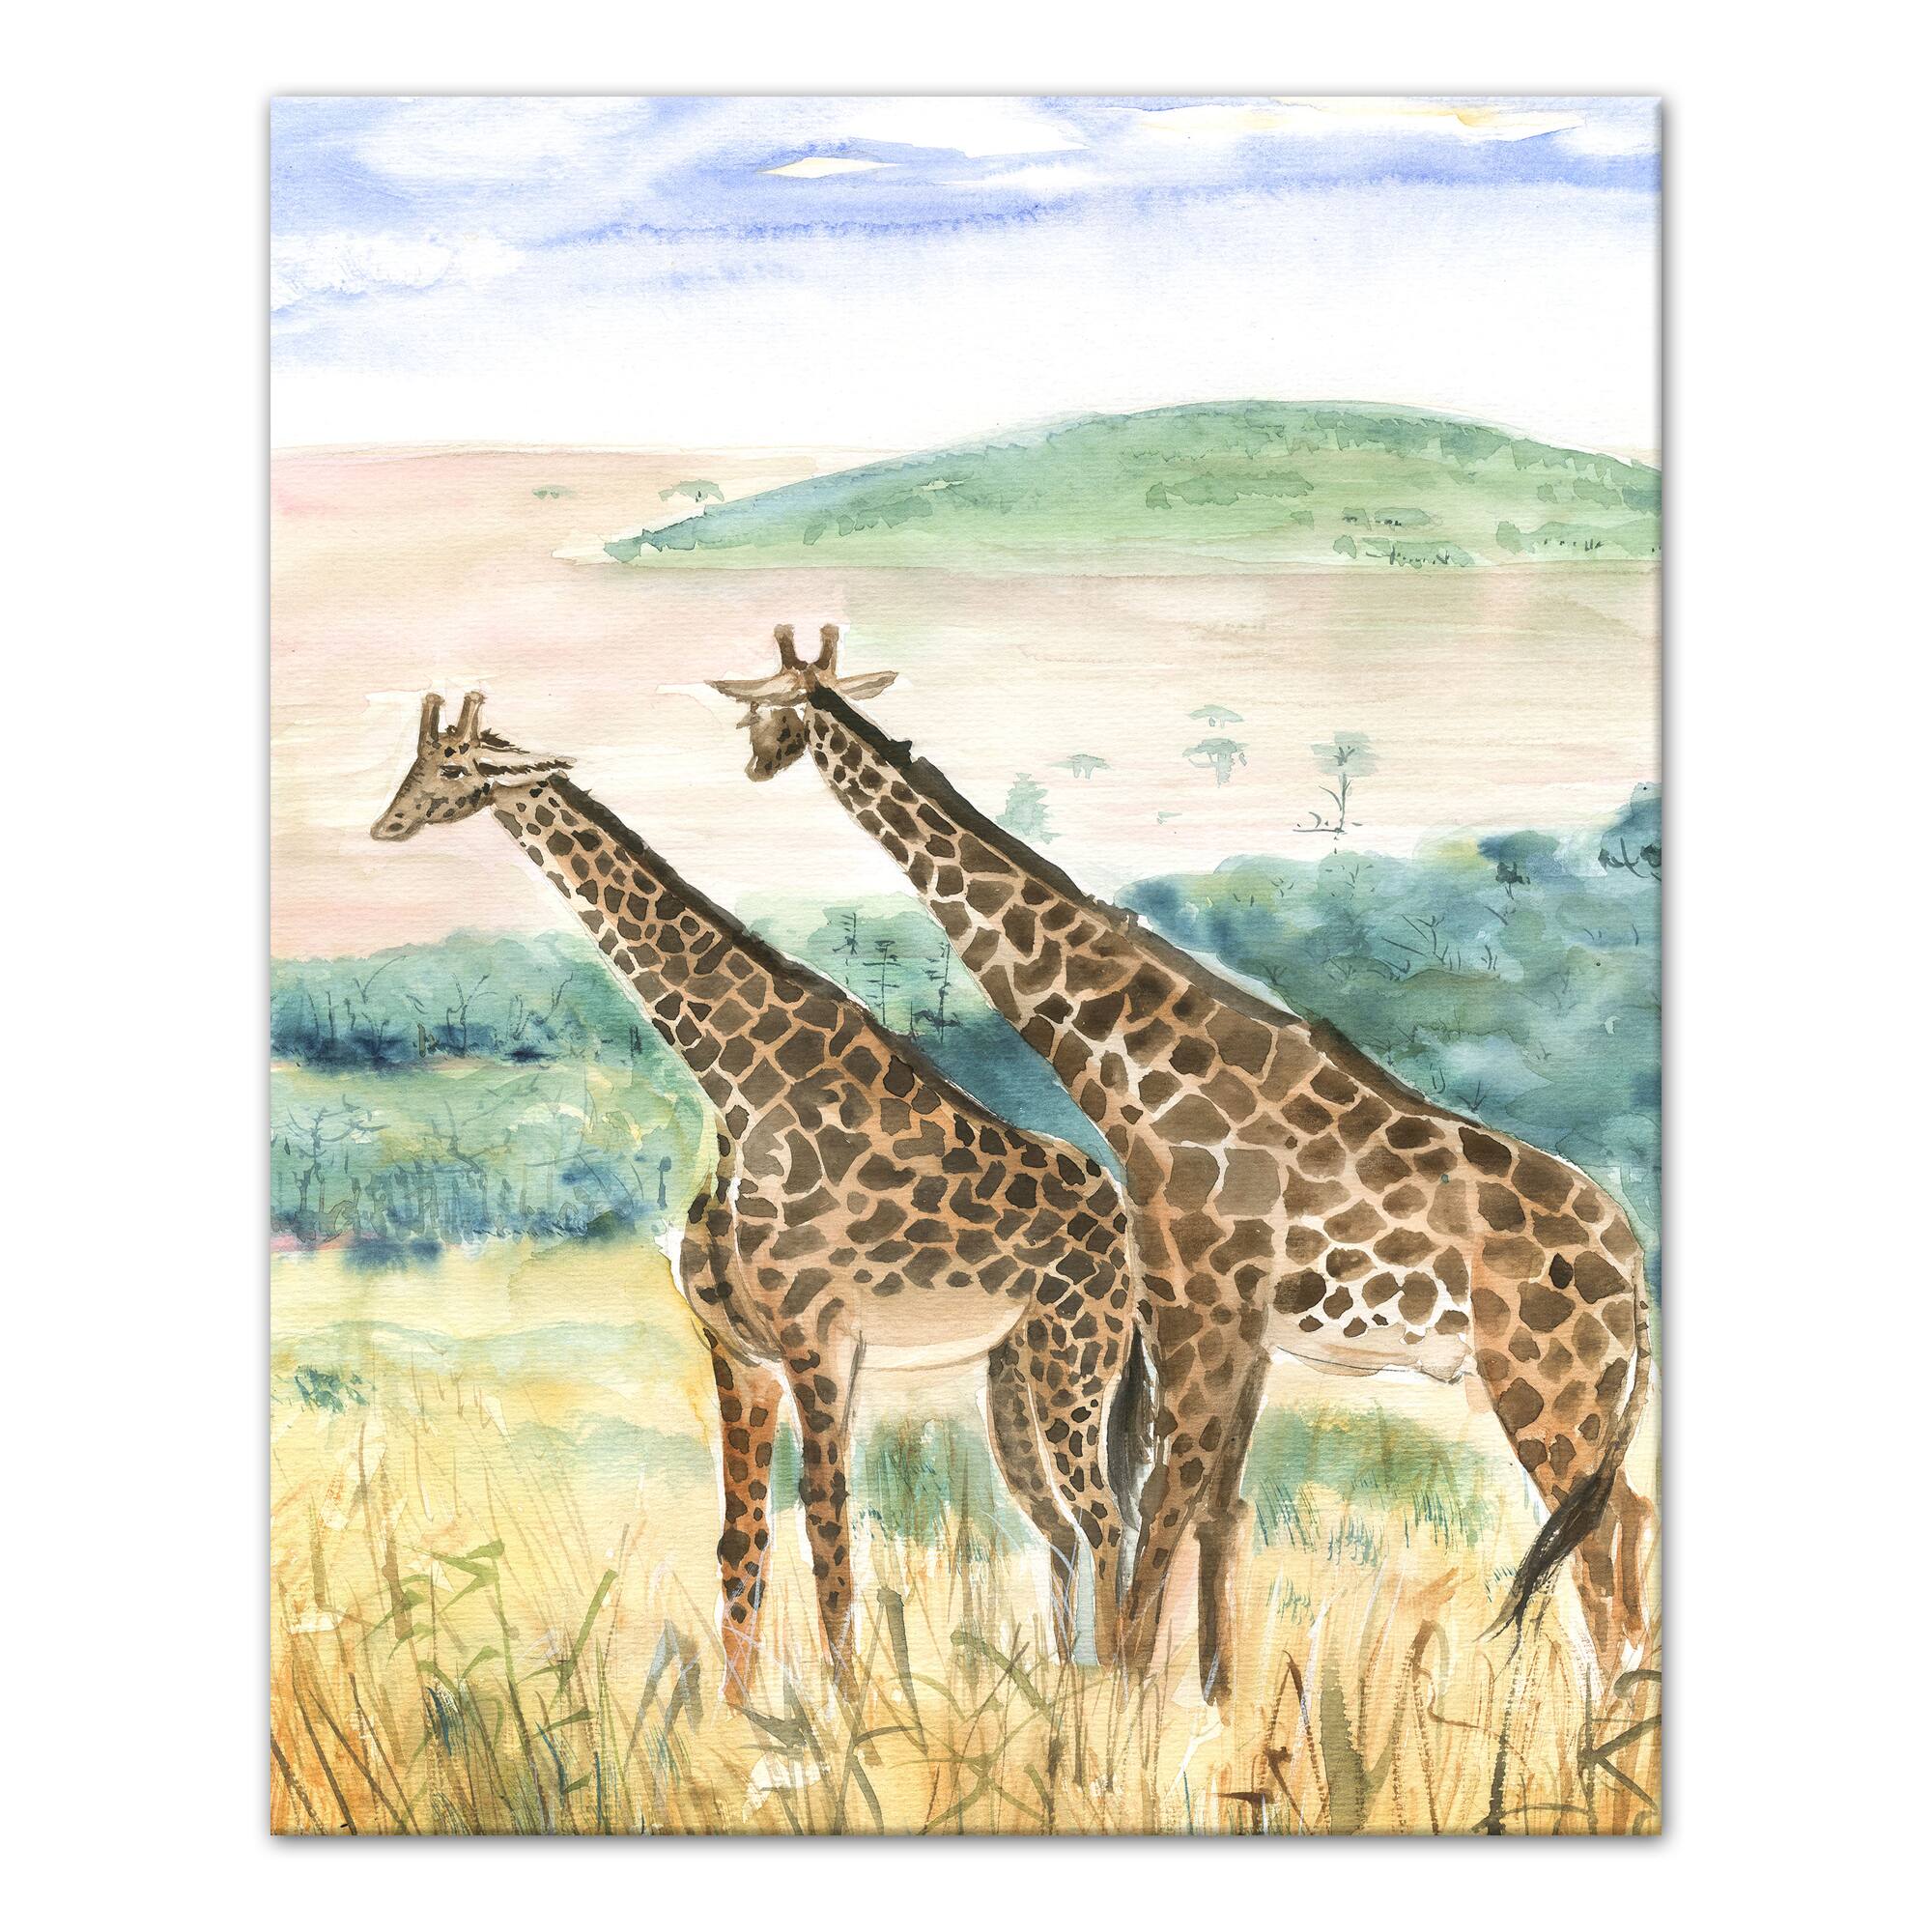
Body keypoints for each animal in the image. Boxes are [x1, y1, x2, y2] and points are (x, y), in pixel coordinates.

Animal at [370, 690, 1143, 1701]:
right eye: (418, 764)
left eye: (456, 767)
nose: (386, 824)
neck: (734, 1086)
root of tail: (1127, 1224)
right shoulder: (738, 1353)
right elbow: (743, 1539)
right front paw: (740, 1715)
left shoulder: (822, 1347)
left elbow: (829, 1532)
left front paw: (848, 1713)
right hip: (1013, 1371)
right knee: (1058, 1525)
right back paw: (1060, 1689)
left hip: (1077, 1359)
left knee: (1108, 1520)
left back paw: (1126, 1696)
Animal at [711, 627, 1656, 1704]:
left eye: (771, 710)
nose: (755, 762)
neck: (1137, 1076)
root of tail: (1634, 1267)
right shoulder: (1238, 1331)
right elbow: (1212, 1505)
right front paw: (1210, 1696)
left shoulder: (1195, 1311)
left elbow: (1159, 1502)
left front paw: (1129, 1697)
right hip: (1585, 1391)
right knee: (1626, 1518)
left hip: (1542, 1378)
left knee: (1597, 1531)